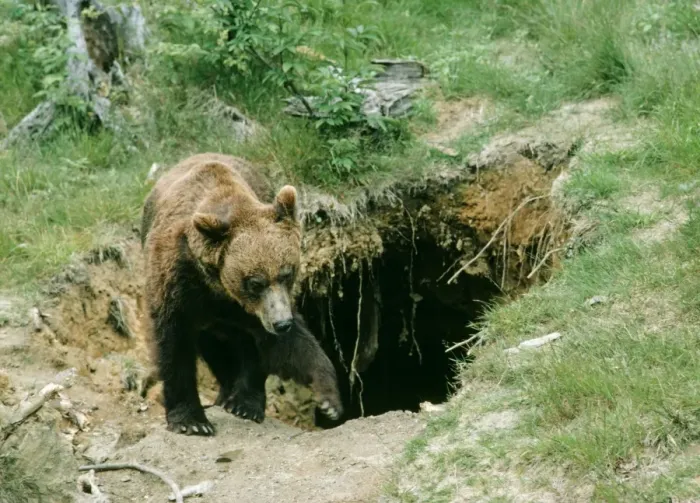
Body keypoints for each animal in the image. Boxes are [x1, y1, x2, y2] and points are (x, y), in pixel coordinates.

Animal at [140, 153, 343, 435]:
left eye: (287, 273)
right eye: (255, 282)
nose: (282, 323)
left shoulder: (256, 309)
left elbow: (285, 345)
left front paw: (328, 399)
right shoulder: (177, 281)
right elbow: (173, 343)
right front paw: (192, 421)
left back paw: (244, 402)